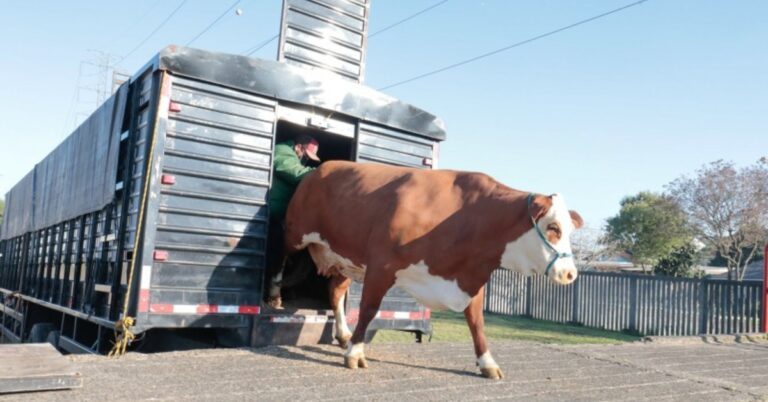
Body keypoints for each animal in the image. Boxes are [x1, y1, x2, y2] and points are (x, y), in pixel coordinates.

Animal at [282, 161, 584, 380]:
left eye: (570, 230)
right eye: (553, 227)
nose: (571, 274)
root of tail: (319, 169)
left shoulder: (470, 279)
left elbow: (477, 322)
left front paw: (487, 362)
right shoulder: (382, 264)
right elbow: (368, 309)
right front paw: (356, 353)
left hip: (346, 260)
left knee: (335, 291)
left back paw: (343, 334)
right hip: (293, 236)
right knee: (280, 260)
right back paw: (276, 297)